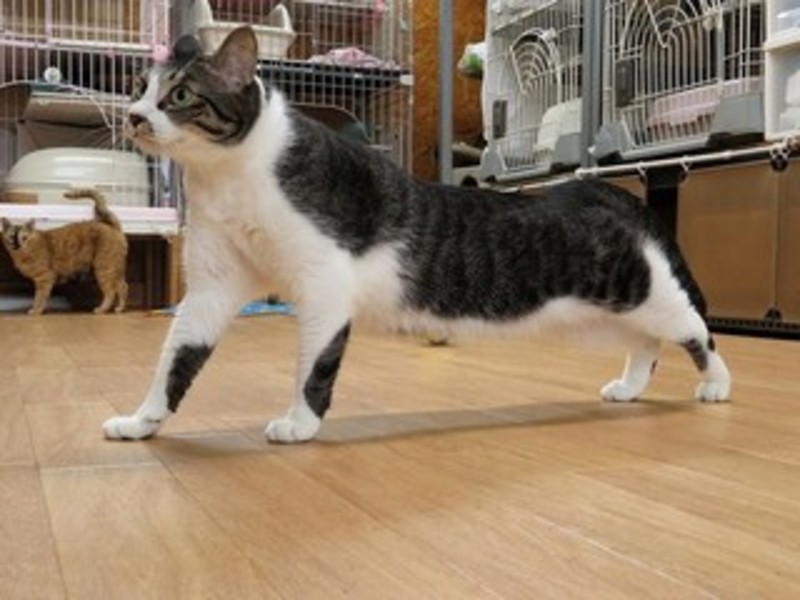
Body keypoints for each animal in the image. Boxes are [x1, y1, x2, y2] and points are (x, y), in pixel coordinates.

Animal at [102, 26, 731, 444]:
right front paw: (141, 421)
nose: (133, 117)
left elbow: (314, 363)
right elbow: (176, 356)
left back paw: (716, 385)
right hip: (598, 317)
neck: (230, 176)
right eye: (135, 86)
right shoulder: (214, 282)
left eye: (180, 95)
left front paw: (301, 423)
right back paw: (629, 387)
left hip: (642, 290)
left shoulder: (323, 280)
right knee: (645, 343)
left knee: (695, 329)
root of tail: (604, 191)